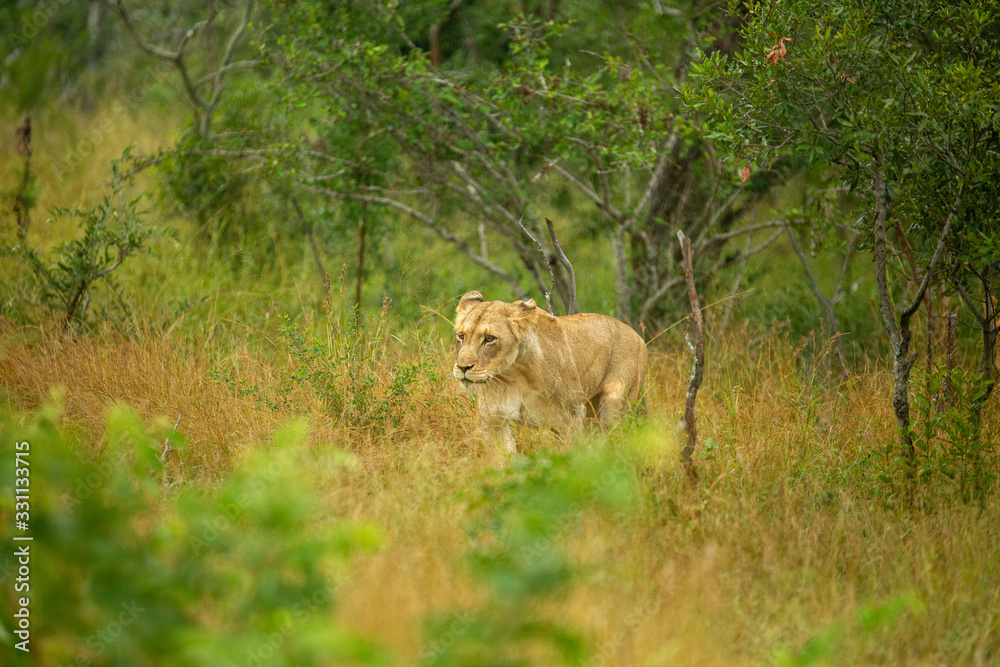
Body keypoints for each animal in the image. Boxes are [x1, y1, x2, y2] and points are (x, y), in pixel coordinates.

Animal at [452, 291, 648, 453]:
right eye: (461, 336)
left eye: (489, 339)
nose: (462, 367)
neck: (513, 375)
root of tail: (638, 336)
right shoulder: (494, 420)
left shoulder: (568, 419)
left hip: (614, 407)